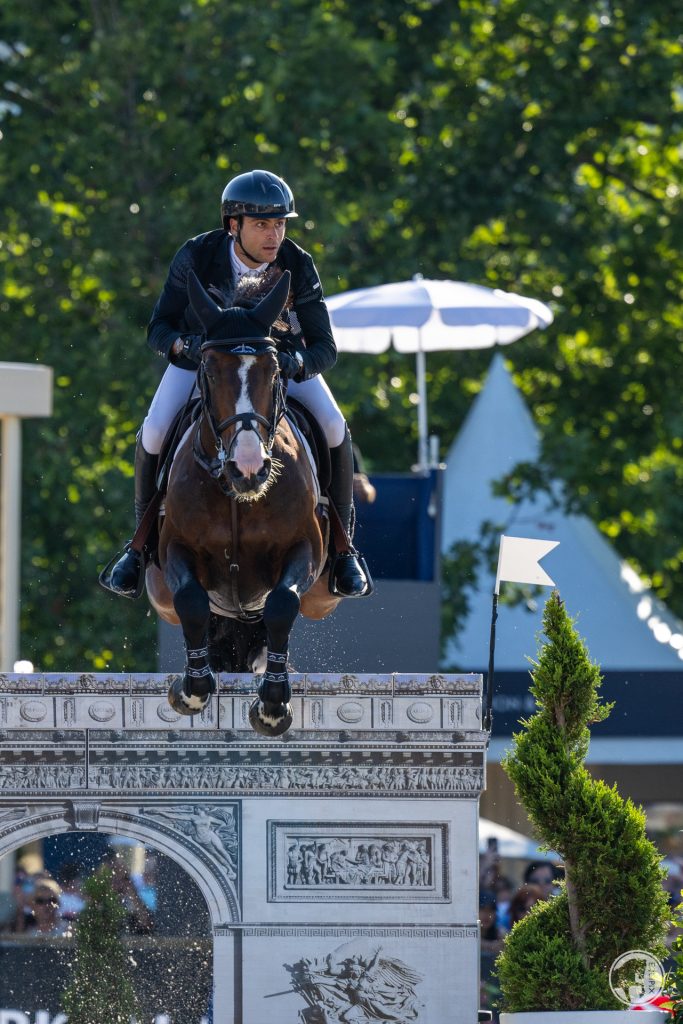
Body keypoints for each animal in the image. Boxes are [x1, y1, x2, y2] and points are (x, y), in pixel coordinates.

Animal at [149, 268, 342, 737]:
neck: (238, 498)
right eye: (208, 370)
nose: (249, 469)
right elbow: (192, 602)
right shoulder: (175, 549)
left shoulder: (305, 551)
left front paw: (272, 706)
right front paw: (191, 690)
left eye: (273, 372)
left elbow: (282, 605)